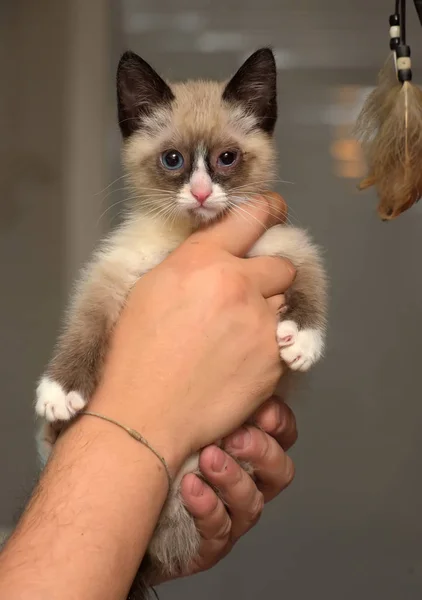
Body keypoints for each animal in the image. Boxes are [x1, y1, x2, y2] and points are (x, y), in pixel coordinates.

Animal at [34, 49, 328, 596]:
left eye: (226, 159)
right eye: (173, 160)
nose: (201, 193)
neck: (189, 237)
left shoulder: (287, 246)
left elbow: (312, 283)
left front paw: (300, 340)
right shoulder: (113, 273)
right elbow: (83, 327)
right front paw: (60, 391)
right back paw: (56, 425)